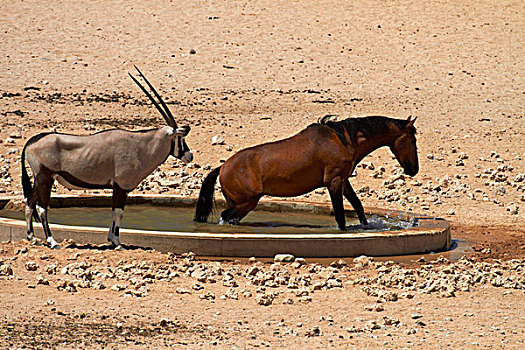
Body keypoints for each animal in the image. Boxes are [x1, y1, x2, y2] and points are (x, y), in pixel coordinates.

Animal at [193, 115, 418, 230]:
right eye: (413, 139)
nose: (414, 169)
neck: (343, 140)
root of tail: (222, 168)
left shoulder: (343, 181)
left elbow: (358, 207)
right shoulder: (334, 182)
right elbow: (340, 216)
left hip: (243, 204)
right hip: (246, 202)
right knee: (225, 216)